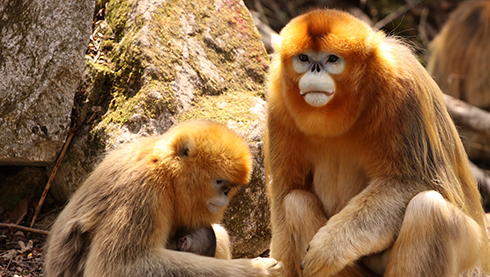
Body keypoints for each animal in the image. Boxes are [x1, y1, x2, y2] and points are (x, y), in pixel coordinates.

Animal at [47, 120, 284, 276]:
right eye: (219, 182)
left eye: (231, 187)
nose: (225, 194)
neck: (164, 171)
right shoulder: (144, 190)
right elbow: (115, 268)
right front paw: (253, 270)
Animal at [266, 8, 490, 276]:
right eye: (303, 58)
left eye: (332, 59)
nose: (315, 70)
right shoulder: (278, 102)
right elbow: (284, 194)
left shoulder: (403, 89)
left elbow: (416, 181)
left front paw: (328, 247)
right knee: (295, 202)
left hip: (471, 259)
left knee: (429, 210)